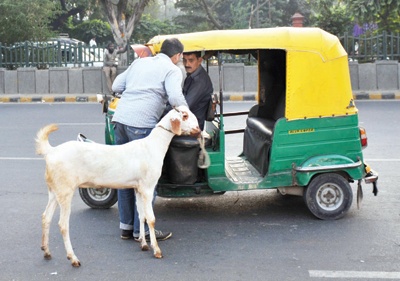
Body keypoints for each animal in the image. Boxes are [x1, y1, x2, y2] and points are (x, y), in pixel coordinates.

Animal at [36, 105, 200, 264]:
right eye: (185, 116)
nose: (198, 129)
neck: (152, 146)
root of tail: (51, 152)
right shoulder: (148, 187)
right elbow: (151, 219)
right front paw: (156, 250)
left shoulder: (138, 188)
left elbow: (141, 215)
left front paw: (143, 244)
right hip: (65, 190)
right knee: (63, 225)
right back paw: (73, 258)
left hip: (54, 191)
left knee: (46, 217)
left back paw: (46, 251)